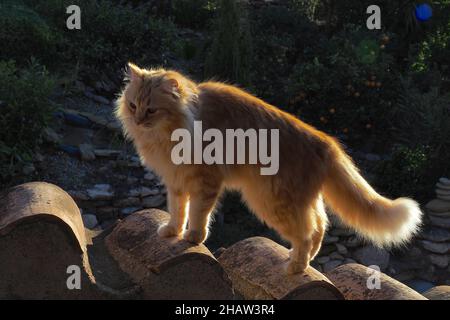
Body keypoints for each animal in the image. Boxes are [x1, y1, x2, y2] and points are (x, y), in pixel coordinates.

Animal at [115, 63, 422, 276]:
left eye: (151, 110)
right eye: (132, 105)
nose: (138, 120)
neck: (173, 131)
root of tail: (328, 143)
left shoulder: (205, 180)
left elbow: (198, 213)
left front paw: (193, 237)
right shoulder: (176, 181)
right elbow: (178, 209)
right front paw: (172, 231)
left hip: (271, 201)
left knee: (307, 232)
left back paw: (295, 267)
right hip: (297, 201)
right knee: (320, 226)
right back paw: (301, 260)